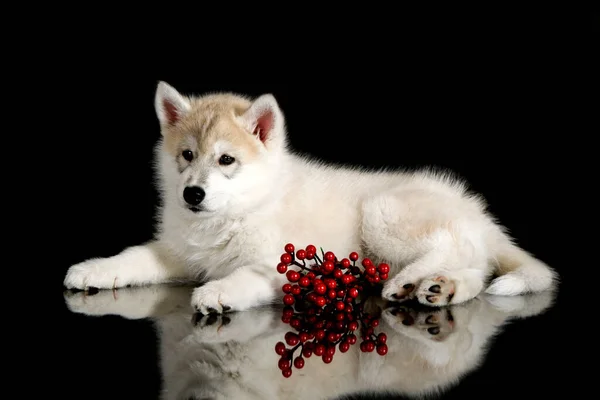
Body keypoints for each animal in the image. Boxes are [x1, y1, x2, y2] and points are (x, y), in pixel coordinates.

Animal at [62, 81, 556, 312]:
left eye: (226, 160)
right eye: (186, 155)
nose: (193, 194)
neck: (237, 211)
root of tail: (477, 211)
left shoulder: (282, 265)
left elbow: (244, 275)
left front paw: (217, 291)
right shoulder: (178, 252)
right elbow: (136, 256)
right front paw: (95, 270)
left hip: (385, 212)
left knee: (452, 246)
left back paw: (408, 281)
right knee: (475, 269)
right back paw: (440, 288)